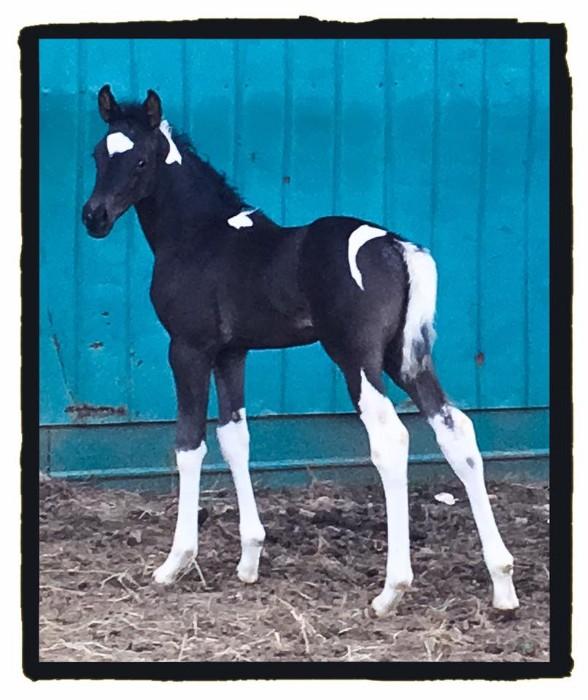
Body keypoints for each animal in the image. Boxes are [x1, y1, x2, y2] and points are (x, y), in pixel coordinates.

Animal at [81, 85, 519, 617]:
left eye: (141, 160)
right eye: (98, 154)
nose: (94, 217)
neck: (200, 236)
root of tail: (395, 246)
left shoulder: (188, 349)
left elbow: (190, 443)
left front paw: (175, 563)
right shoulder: (233, 354)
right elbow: (235, 438)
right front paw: (249, 559)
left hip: (357, 359)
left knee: (390, 438)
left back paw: (391, 591)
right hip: (404, 359)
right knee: (456, 431)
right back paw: (502, 583)